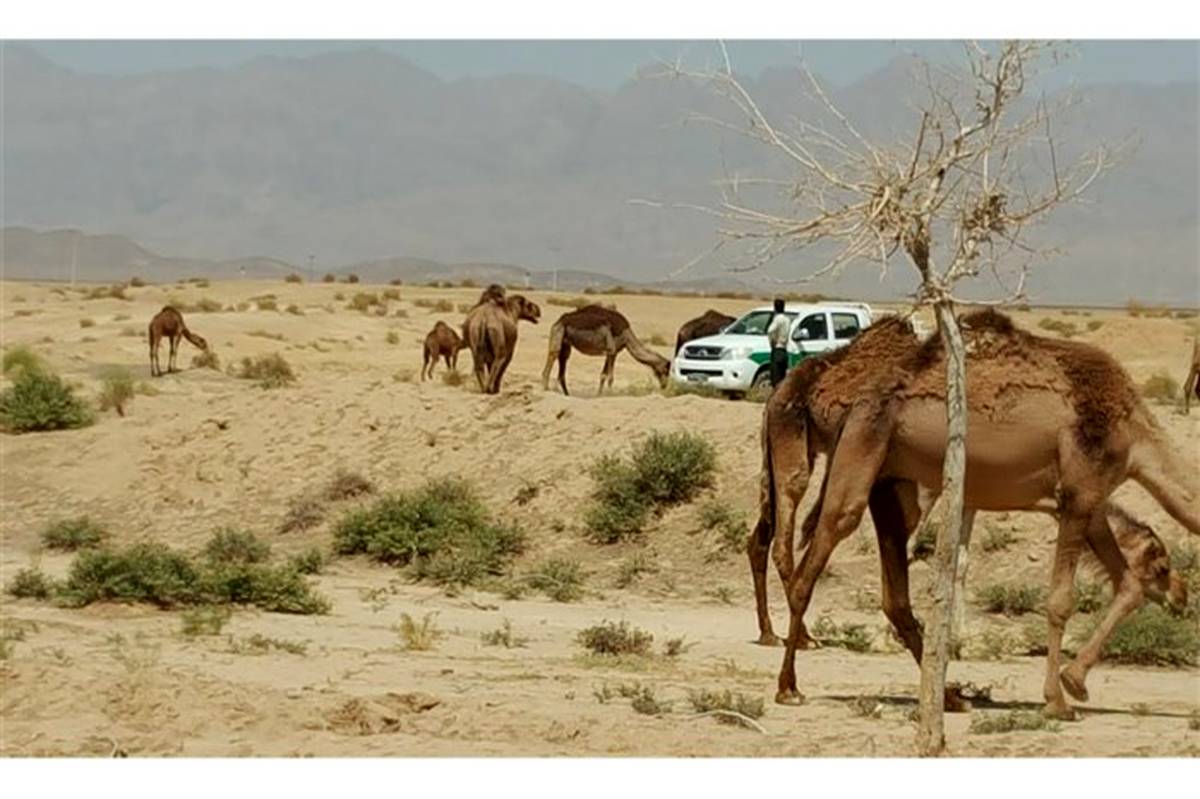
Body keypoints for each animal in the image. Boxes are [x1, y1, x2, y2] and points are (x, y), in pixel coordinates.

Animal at [547, 303, 676, 393]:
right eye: (666, 371)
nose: (665, 386)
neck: (627, 336)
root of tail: (559, 320)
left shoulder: (612, 353)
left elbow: (603, 375)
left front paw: (599, 395)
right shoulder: (611, 350)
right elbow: (610, 377)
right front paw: (609, 394)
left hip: (566, 342)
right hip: (558, 333)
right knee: (553, 356)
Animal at [758, 307, 1200, 710]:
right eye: (1164, 567)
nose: (1182, 597)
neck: (1135, 437)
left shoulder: (1086, 502)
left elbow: (1128, 585)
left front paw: (1075, 681)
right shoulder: (1082, 491)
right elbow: (1060, 602)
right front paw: (1057, 700)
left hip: (887, 474)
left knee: (894, 593)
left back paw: (950, 697)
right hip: (862, 442)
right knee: (816, 556)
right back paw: (789, 685)